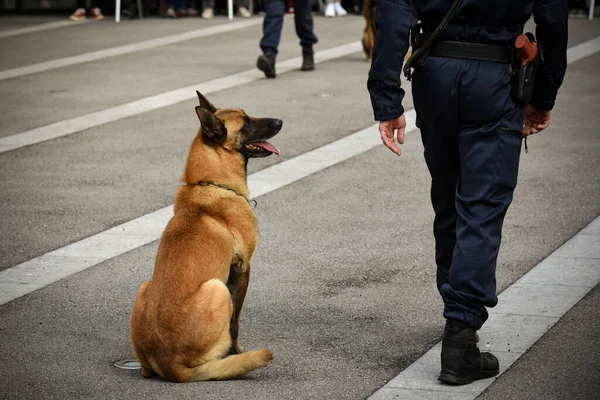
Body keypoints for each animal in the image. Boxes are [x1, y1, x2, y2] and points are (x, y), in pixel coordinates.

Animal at [131, 90, 282, 382]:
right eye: (246, 122)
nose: (280, 121)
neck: (212, 182)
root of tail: (170, 363)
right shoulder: (243, 269)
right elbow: (235, 323)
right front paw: (237, 351)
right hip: (217, 288)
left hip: (144, 286)